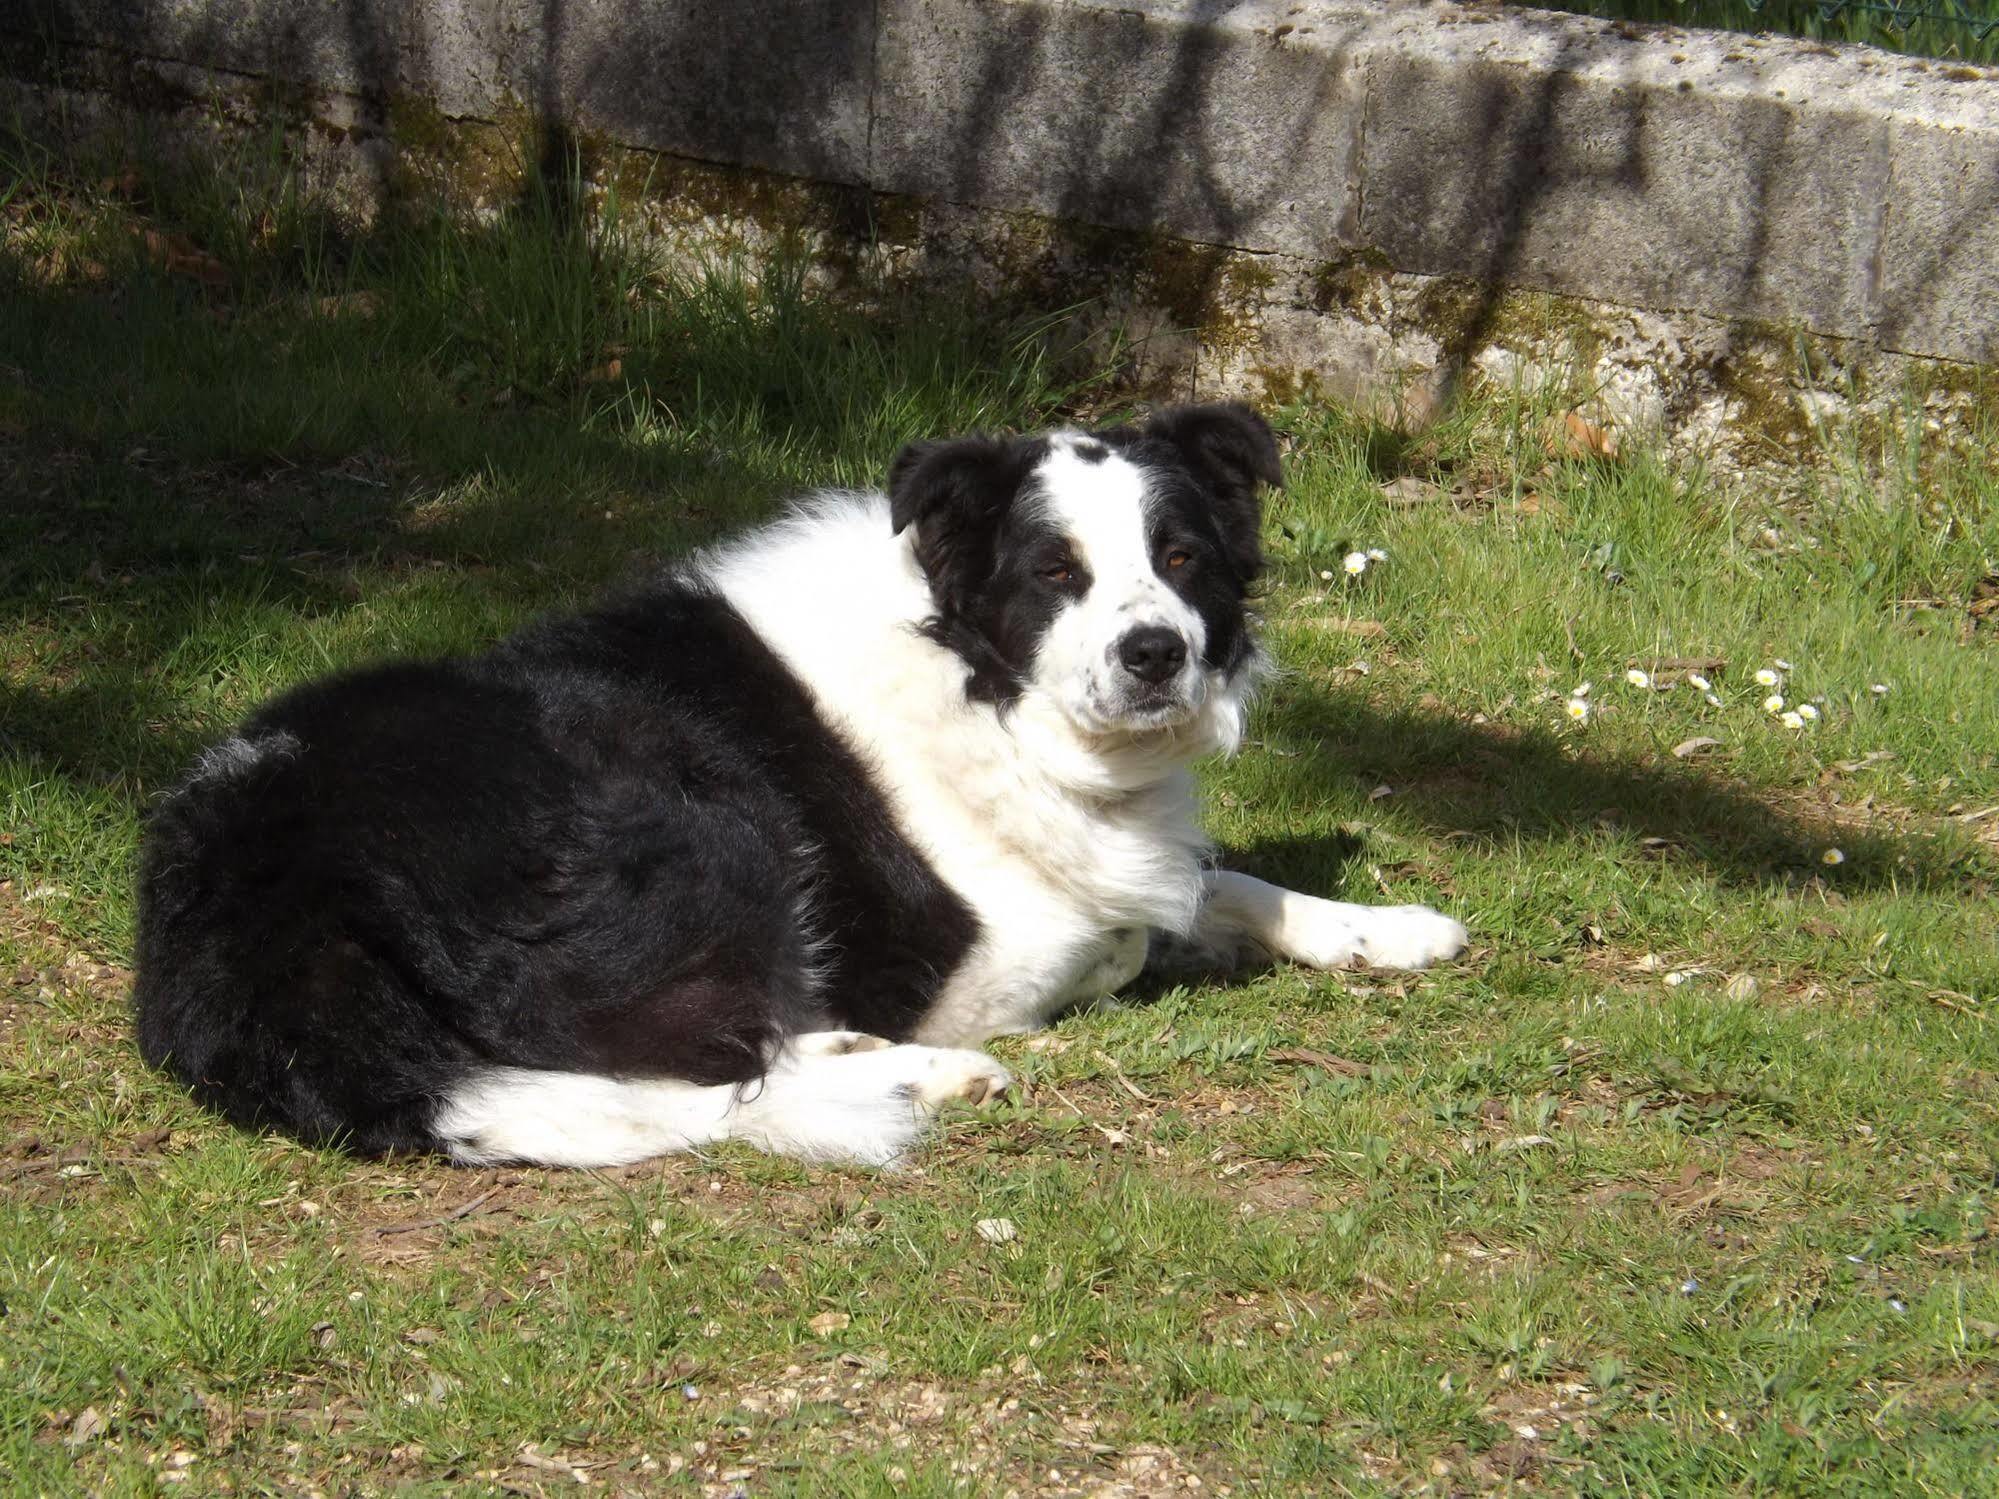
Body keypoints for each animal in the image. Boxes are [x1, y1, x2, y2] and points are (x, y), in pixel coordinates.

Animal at [128, 407, 1471, 1175]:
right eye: (1052, 571)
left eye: (1182, 557)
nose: (1156, 654)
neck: (976, 679)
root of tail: (251, 898)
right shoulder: (976, 958)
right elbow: (1132, 929)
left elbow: (1218, 876)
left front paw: (1382, 928)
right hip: (692, 811)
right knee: (689, 1058)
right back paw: (910, 1074)